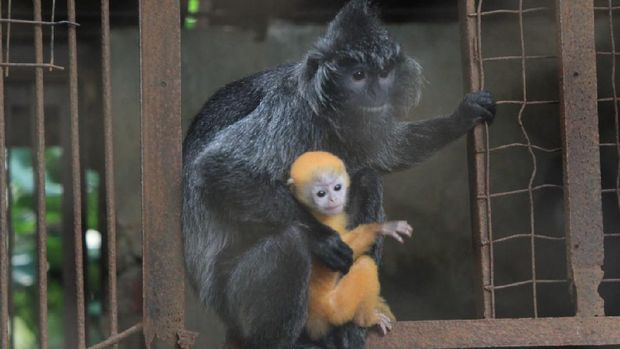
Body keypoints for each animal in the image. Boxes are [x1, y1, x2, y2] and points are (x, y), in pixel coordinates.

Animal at [288, 151, 414, 338]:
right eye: (321, 193)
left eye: (337, 187)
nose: (334, 199)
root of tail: (315, 322)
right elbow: (344, 250)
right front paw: (381, 228)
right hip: (335, 308)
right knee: (365, 265)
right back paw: (367, 319)